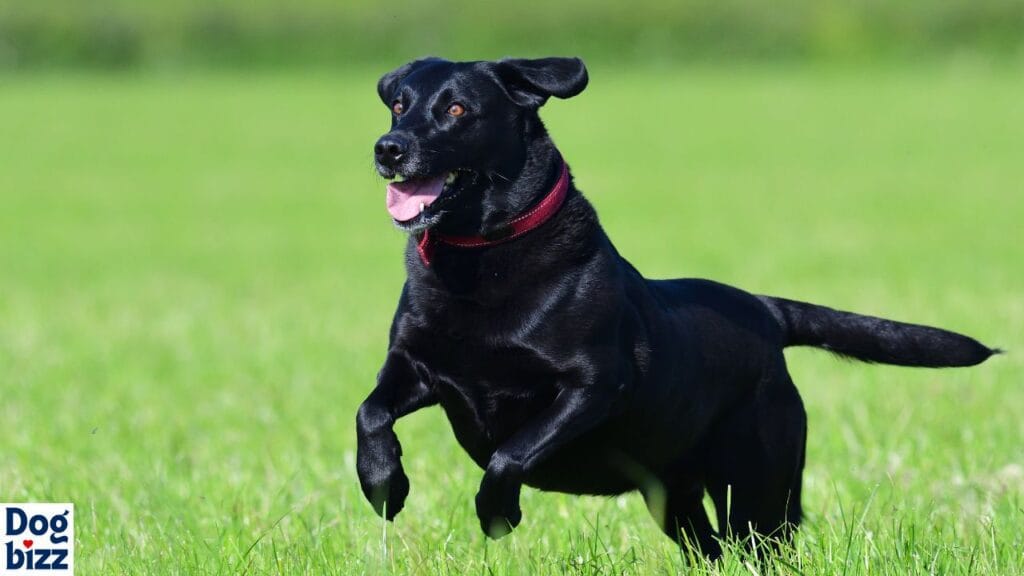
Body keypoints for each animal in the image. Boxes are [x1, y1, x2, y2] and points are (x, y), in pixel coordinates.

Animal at [356, 57, 995, 557]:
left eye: (457, 109)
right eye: (398, 106)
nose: (388, 148)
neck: (480, 256)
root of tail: (764, 311)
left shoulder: (592, 385)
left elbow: (511, 453)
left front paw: (497, 515)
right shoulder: (414, 367)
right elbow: (370, 413)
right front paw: (384, 486)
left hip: (758, 486)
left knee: (762, 544)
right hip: (675, 496)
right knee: (710, 548)